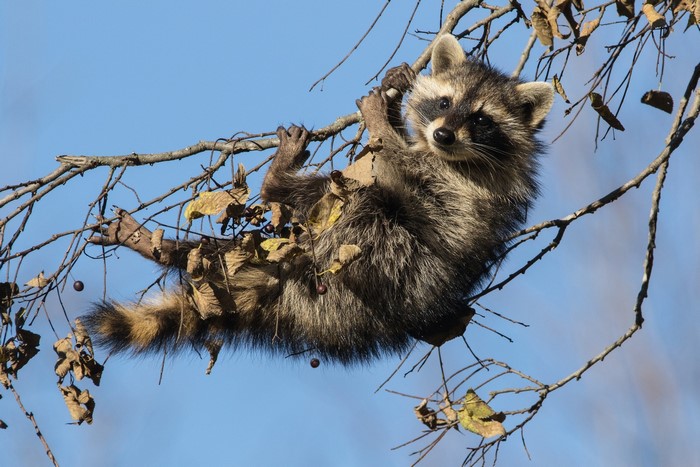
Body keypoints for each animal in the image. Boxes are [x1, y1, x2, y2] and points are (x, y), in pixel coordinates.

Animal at [84, 35, 554, 364]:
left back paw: (278, 183)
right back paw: (169, 249)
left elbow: (397, 162)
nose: (442, 134)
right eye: (443, 101)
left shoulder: (461, 185)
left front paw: (381, 121)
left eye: (481, 119)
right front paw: (395, 94)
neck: (450, 153)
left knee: (360, 201)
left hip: (388, 261)